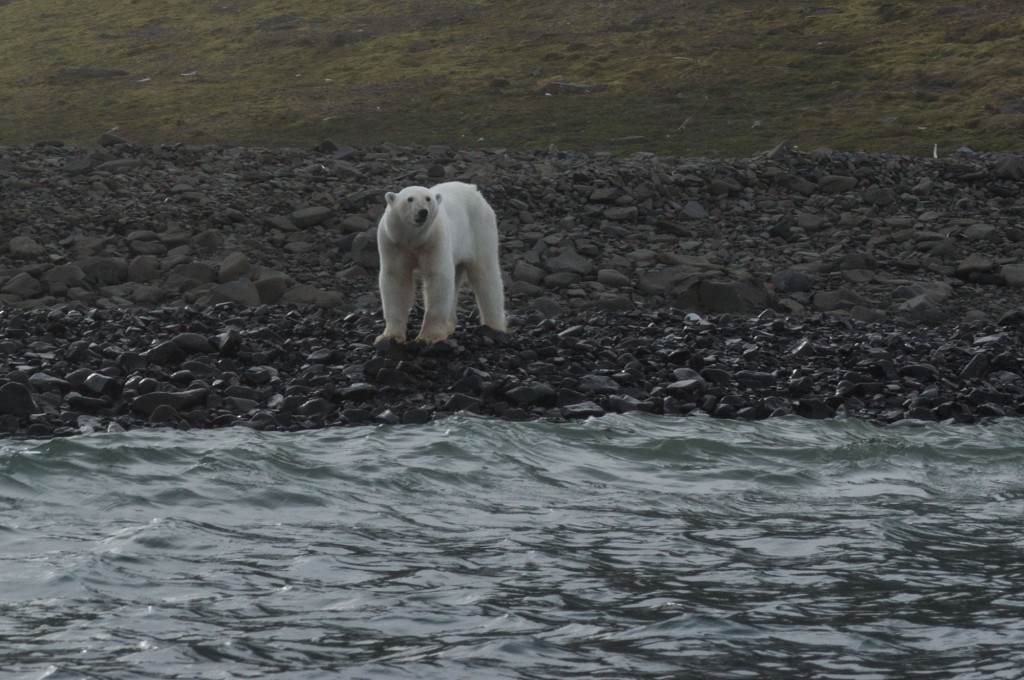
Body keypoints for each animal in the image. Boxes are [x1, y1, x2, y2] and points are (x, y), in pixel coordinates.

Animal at [374, 182, 505, 346]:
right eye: (410, 199)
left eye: (428, 198)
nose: (423, 212)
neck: (413, 239)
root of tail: (474, 189)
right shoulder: (393, 243)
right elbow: (396, 279)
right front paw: (389, 336)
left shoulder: (434, 239)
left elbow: (438, 277)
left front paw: (429, 337)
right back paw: (449, 325)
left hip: (479, 229)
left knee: (485, 275)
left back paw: (494, 326)